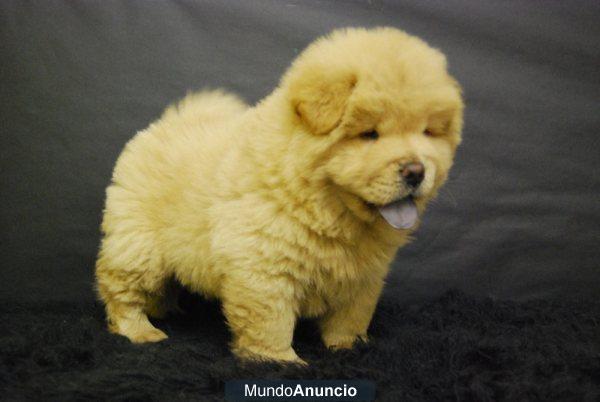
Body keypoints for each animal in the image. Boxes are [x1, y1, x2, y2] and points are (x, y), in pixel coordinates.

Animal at [97, 26, 464, 362]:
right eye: (369, 134)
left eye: (428, 132)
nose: (416, 170)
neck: (332, 213)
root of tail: (165, 124)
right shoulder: (264, 267)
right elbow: (271, 321)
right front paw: (281, 361)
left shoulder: (363, 275)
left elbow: (352, 314)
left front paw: (348, 346)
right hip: (140, 246)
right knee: (117, 286)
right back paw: (141, 330)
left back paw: (166, 310)